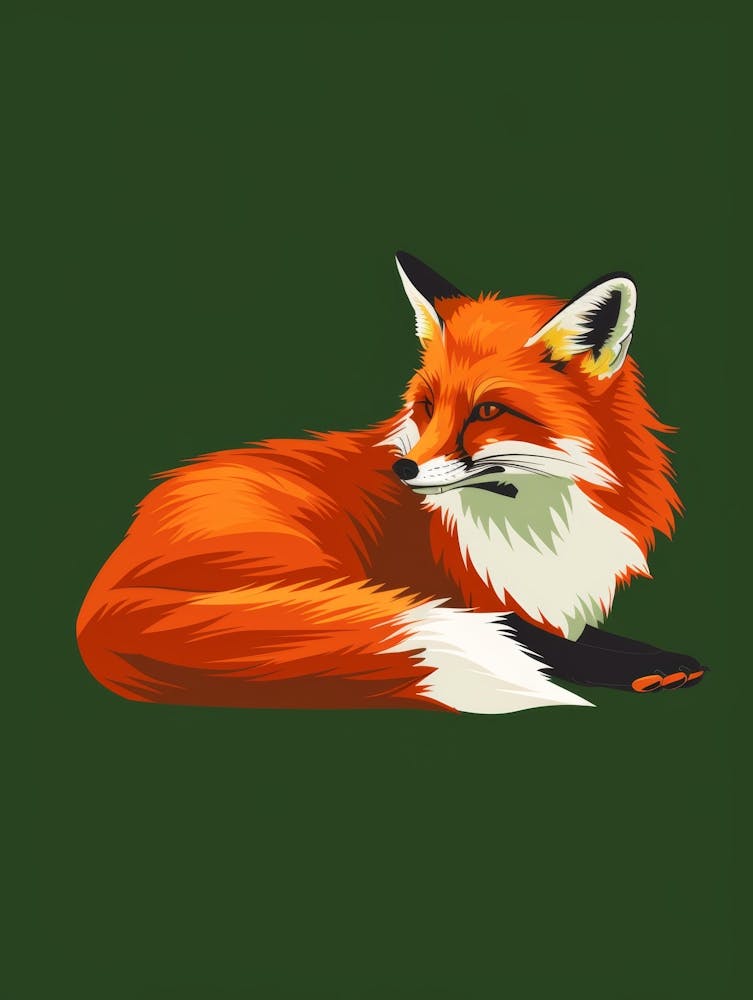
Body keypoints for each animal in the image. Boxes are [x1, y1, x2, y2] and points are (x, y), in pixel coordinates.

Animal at [76, 252, 707, 714]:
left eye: (487, 411)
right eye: (427, 406)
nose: (403, 470)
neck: (534, 521)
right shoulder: (469, 596)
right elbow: (532, 637)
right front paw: (645, 666)